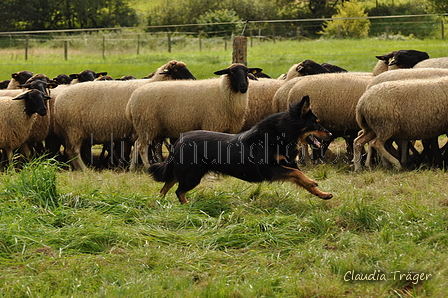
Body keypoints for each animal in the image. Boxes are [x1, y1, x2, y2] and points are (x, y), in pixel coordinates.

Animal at [53, 60, 196, 170]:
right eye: (176, 70)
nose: (194, 80)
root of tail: (59, 99)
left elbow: (154, 149)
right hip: (74, 129)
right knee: (72, 151)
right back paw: (84, 170)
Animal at [125, 62, 260, 170]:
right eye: (232, 72)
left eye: (247, 71)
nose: (243, 87)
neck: (222, 92)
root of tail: (131, 100)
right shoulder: (212, 125)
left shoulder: (230, 129)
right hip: (146, 125)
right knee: (141, 146)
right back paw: (147, 166)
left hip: (155, 128)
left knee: (148, 146)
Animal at [150, 95, 332, 203]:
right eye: (316, 122)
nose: (330, 134)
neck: (282, 134)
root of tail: (179, 141)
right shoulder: (269, 169)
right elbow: (298, 174)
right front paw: (314, 182)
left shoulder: (286, 164)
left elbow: (302, 178)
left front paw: (322, 194)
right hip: (192, 175)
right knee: (179, 191)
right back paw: (187, 206)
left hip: (182, 172)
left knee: (165, 186)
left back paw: (159, 203)